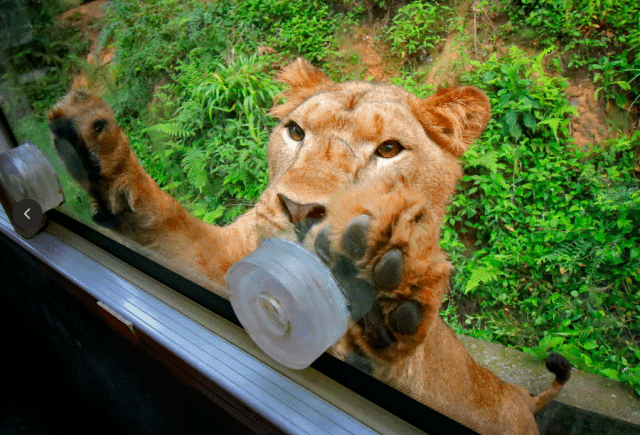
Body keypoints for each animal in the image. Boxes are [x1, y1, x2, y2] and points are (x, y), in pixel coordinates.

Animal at [48, 58, 568, 435]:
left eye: (388, 150)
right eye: (296, 131)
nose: (298, 210)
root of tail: (521, 397)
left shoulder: (402, 379)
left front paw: (390, 295)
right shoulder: (224, 254)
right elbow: (169, 223)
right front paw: (94, 144)